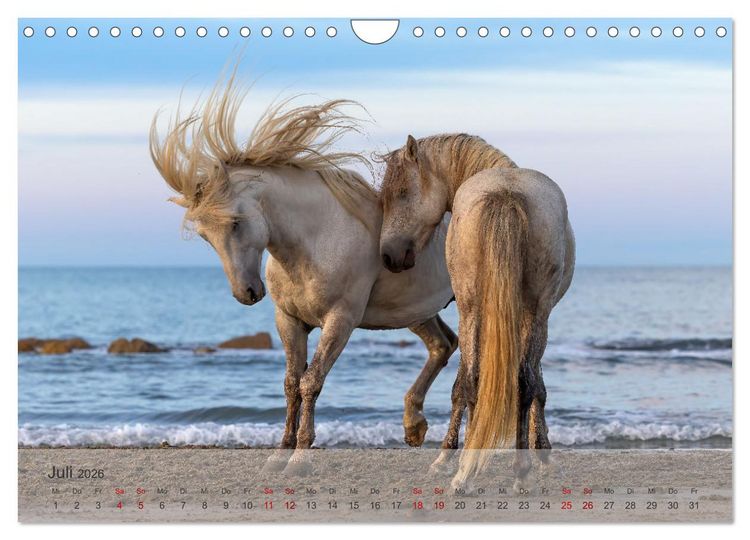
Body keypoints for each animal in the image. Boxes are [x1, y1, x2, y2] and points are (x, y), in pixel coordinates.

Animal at [149, 76, 463, 474]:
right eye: (205, 235)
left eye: (235, 222)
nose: (246, 292)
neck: (316, 240)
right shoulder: (289, 321)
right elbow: (289, 383)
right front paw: (280, 453)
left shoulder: (340, 321)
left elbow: (310, 382)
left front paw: (300, 456)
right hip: (415, 310)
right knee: (443, 344)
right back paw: (414, 426)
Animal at [378, 134, 575, 487]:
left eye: (401, 193)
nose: (388, 255)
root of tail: (507, 193)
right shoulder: (531, 314)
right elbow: (535, 385)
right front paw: (542, 454)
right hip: (528, 313)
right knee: (518, 383)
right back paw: (516, 472)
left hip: (476, 310)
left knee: (475, 382)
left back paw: (466, 469)